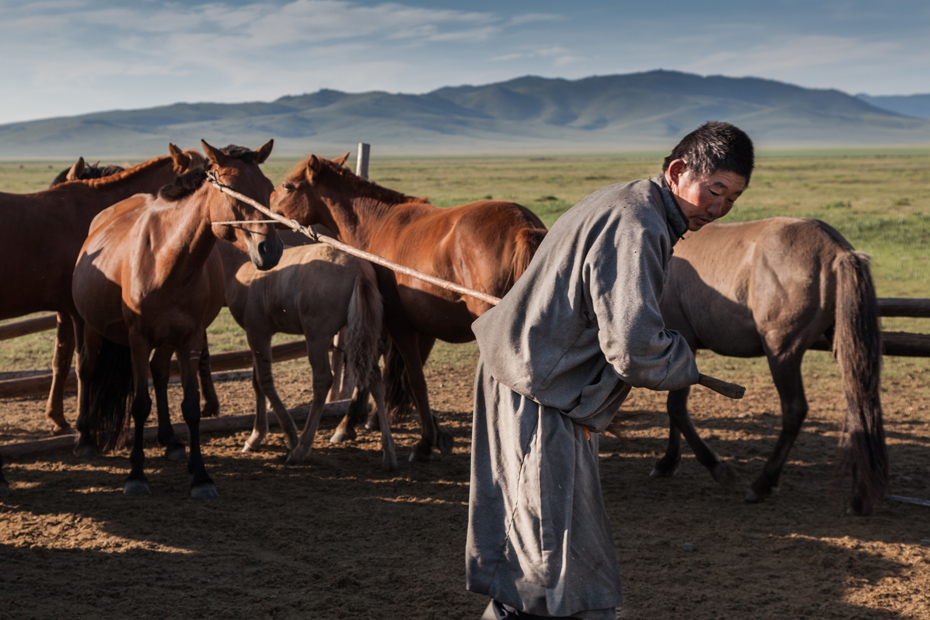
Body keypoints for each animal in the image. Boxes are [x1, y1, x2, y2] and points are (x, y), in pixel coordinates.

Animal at [0, 146, 202, 438]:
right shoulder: (79, 314)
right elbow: (81, 364)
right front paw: (76, 421)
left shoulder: (66, 311)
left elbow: (61, 361)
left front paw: (58, 417)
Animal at [72, 140, 280, 498]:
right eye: (233, 190)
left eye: (268, 189)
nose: (271, 249)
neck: (166, 259)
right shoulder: (138, 338)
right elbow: (140, 405)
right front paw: (136, 475)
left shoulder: (189, 338)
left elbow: (191, 405)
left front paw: (200, 475)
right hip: (91, 326)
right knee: (87, 368)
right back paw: (85, 440)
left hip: (168, 337)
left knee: (158, 372)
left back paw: (171, 443)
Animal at [218, 241, 396, 470]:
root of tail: (359, 268)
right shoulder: (255, 336)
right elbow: (257, 382)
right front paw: (256, 436)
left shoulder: (257, 333)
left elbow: (264, 382)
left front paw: (287, 437)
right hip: (360, 334)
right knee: (374, 379)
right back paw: (388, 453)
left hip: (317, 337)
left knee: (323, 381)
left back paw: (301, 449)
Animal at [268, 154, 544, 460]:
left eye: (288, 186)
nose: (267, 205)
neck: (378, 224)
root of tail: (523, 224)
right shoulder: (425, 328)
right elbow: (404, 376)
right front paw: (431, 430)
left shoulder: (397, 324)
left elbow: (410, 378)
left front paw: (422, 440)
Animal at [648, 216, 888, 516]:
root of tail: (837, 250)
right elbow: (674, 406)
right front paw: (668, 461)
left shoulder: (684, 339)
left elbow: (676, 408)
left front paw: (716, 467)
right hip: (844, 343)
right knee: (860, 401)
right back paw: (860, 496)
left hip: (782, 352)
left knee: (795, 409)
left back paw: (764, 482)